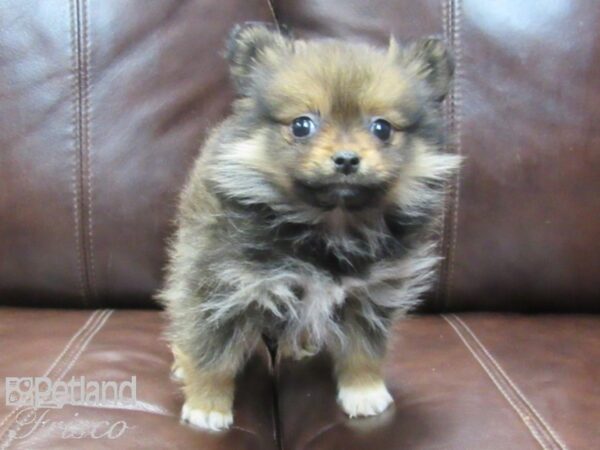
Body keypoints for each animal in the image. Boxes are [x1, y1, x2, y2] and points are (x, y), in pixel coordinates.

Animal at [157, 22, 458, 430]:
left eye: (382, 128)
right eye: (302, 126)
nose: (346, 159)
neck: (330, 223)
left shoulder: (371, 294)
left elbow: (363, 351)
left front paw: (364, 392)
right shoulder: (223, 287)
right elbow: (213, 353)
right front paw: (207, 405)